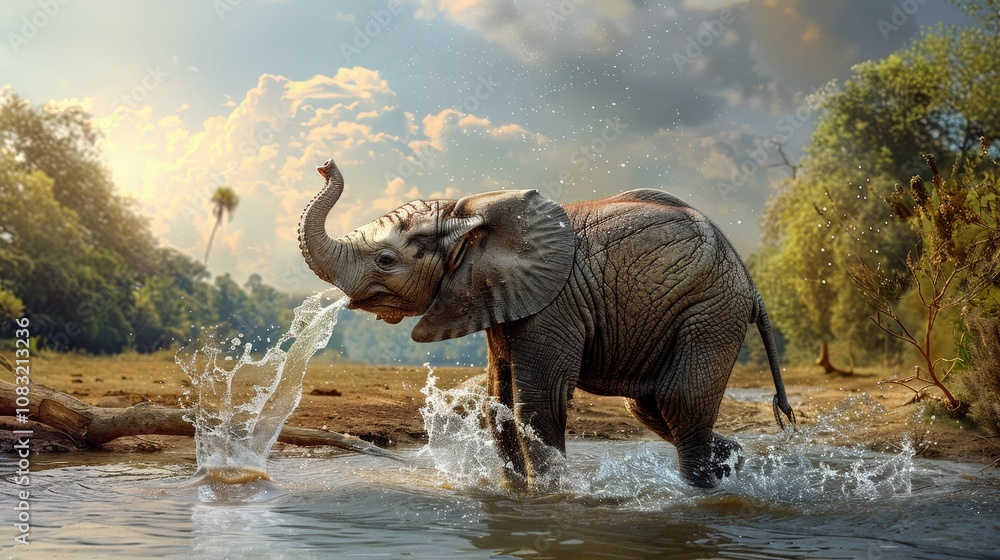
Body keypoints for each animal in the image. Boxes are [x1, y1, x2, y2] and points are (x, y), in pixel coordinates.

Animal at [298, 158, 795, 489]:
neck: (468, 212)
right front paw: (516, 497)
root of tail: (751, 283)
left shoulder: (553, 303)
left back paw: (706, 489)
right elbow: (497, 398)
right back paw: (734, 463)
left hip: (710, 311)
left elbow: (538, 401)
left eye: (385, 260)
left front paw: (550, 499)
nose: (324, 165)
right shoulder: (498, 297)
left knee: (679, 402)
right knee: (653, 406)